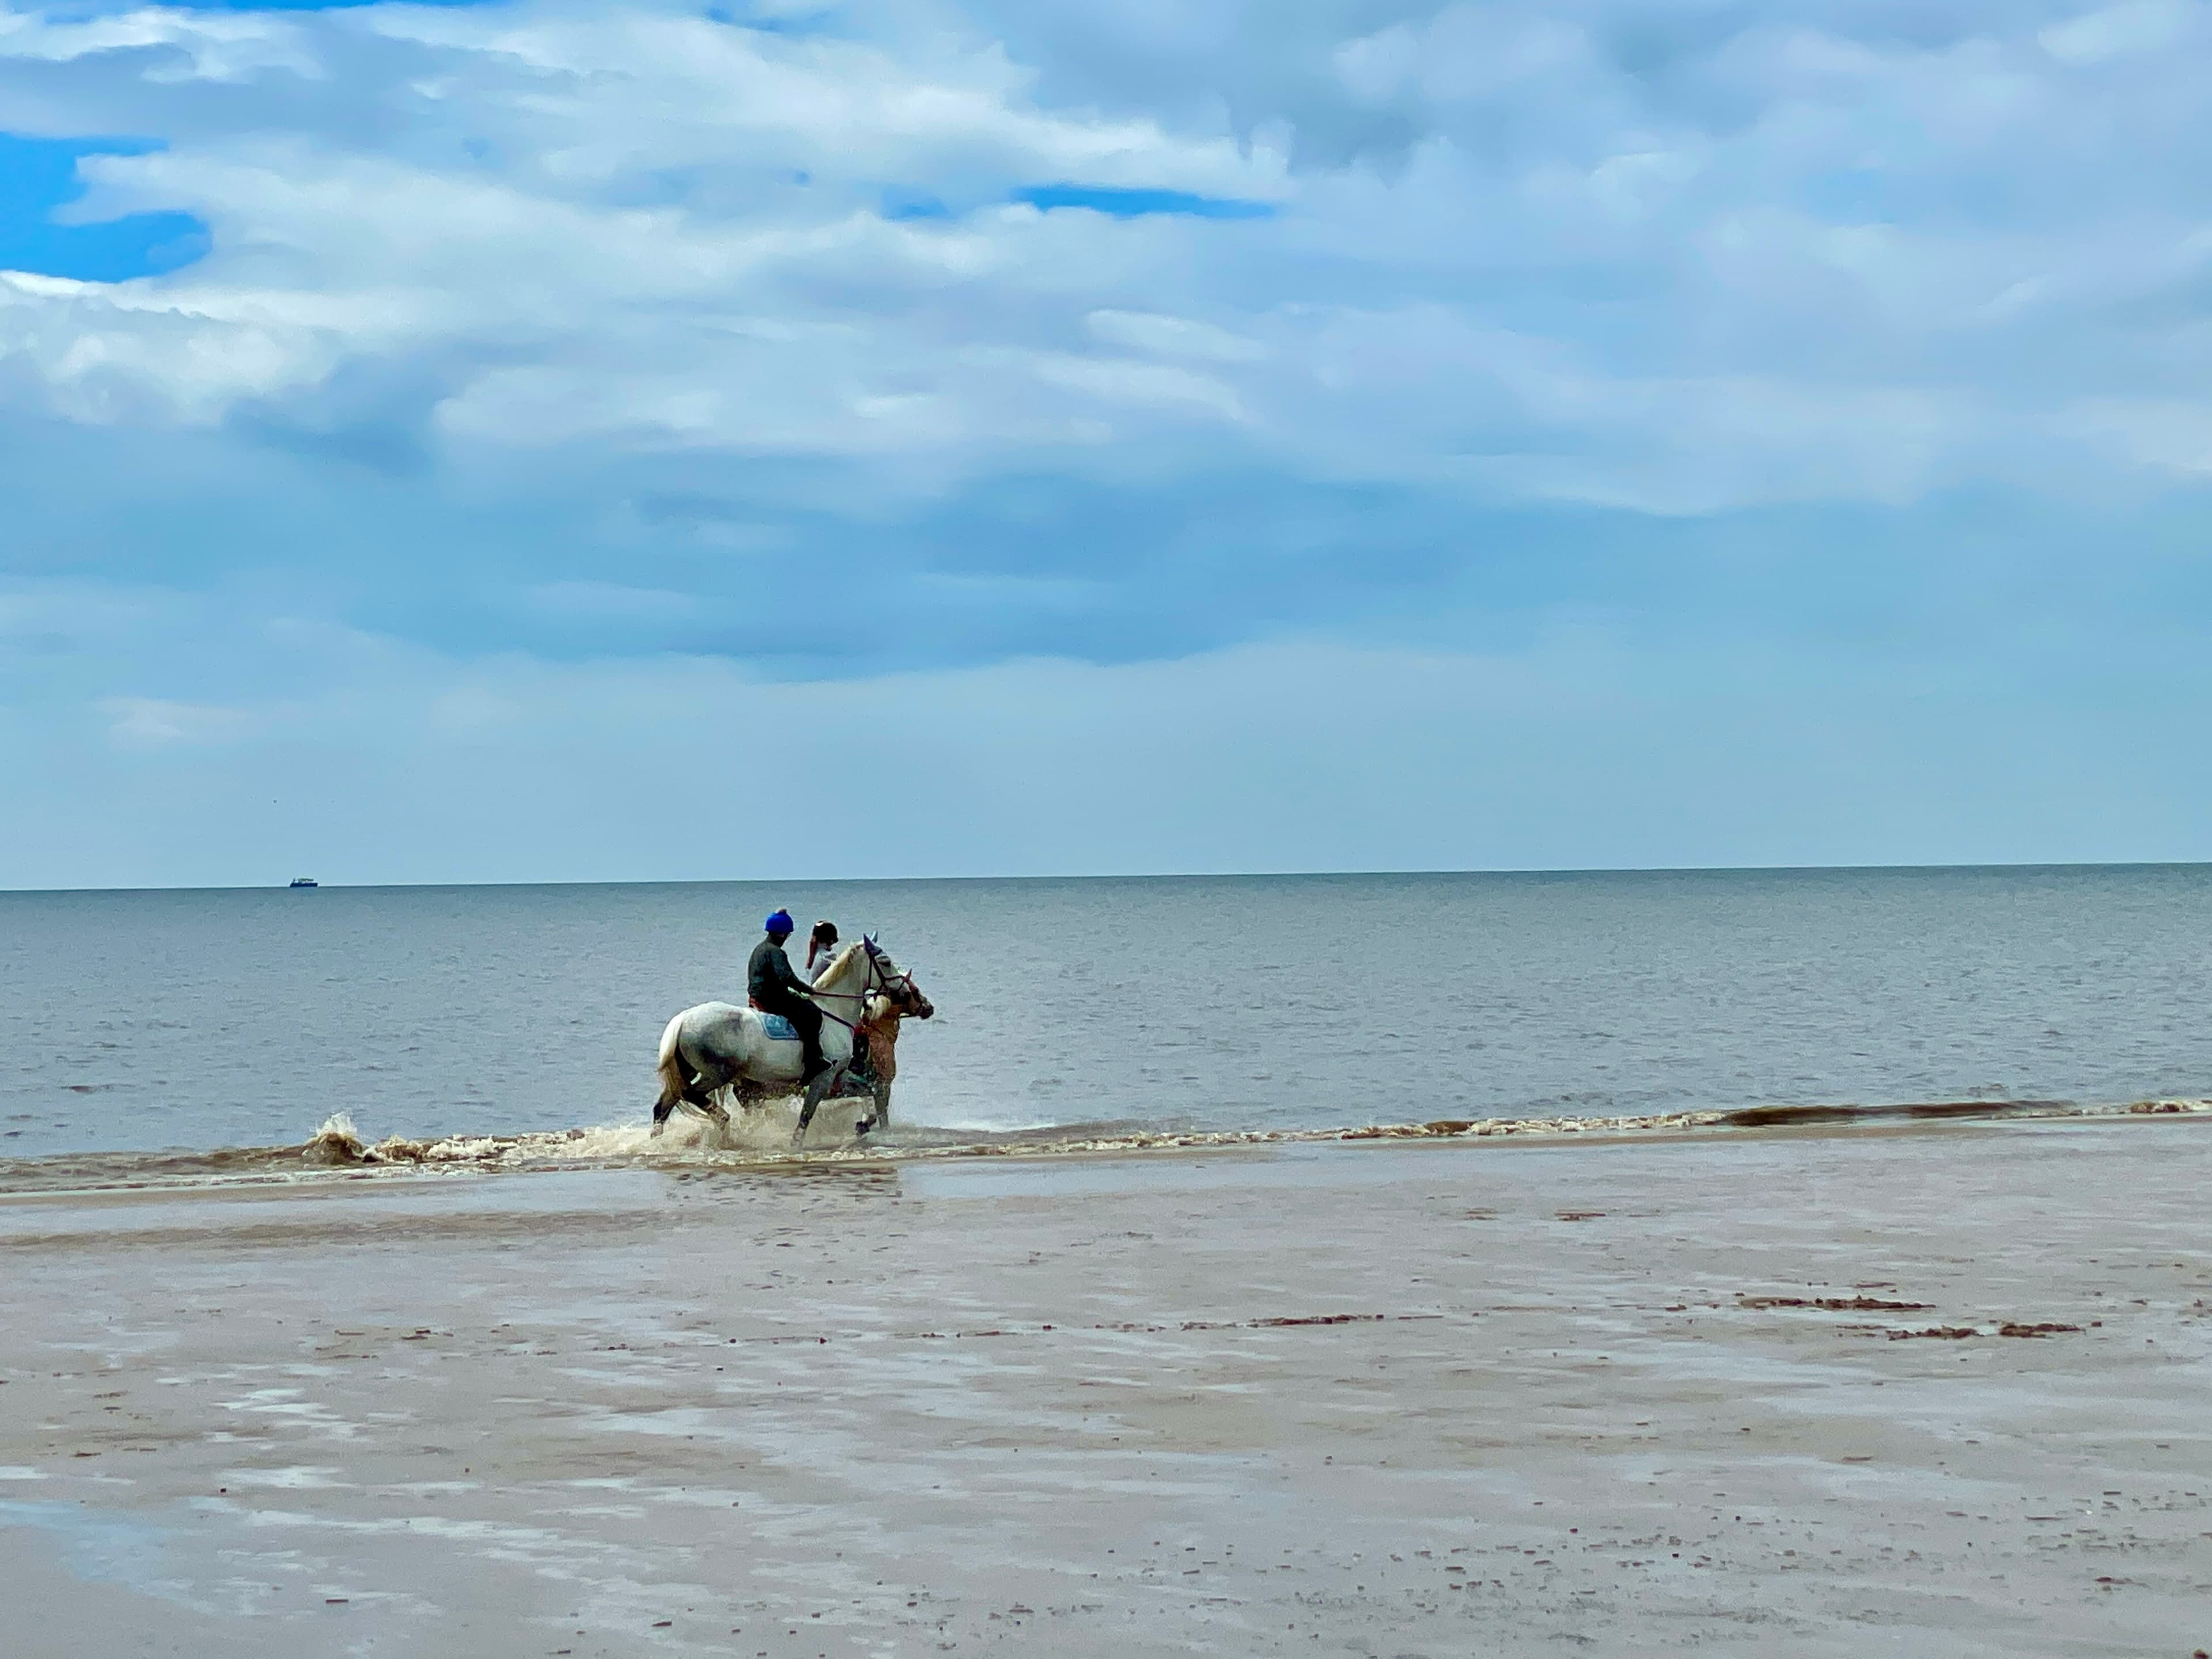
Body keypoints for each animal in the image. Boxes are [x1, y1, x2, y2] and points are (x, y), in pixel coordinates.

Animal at [653, 937, 933, 1146]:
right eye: (885, 962)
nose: (906, 992)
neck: (834, 1012)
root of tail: (682, 1020)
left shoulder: (839, 1077)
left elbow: (870, 1095)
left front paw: (863, 1124)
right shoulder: (823, 1079)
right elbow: (806, 1117)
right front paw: (796, 1145)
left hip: (691, 1072)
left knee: (663, 1107)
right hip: (718, 1073)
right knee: (689, 1094)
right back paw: (721, 1118)